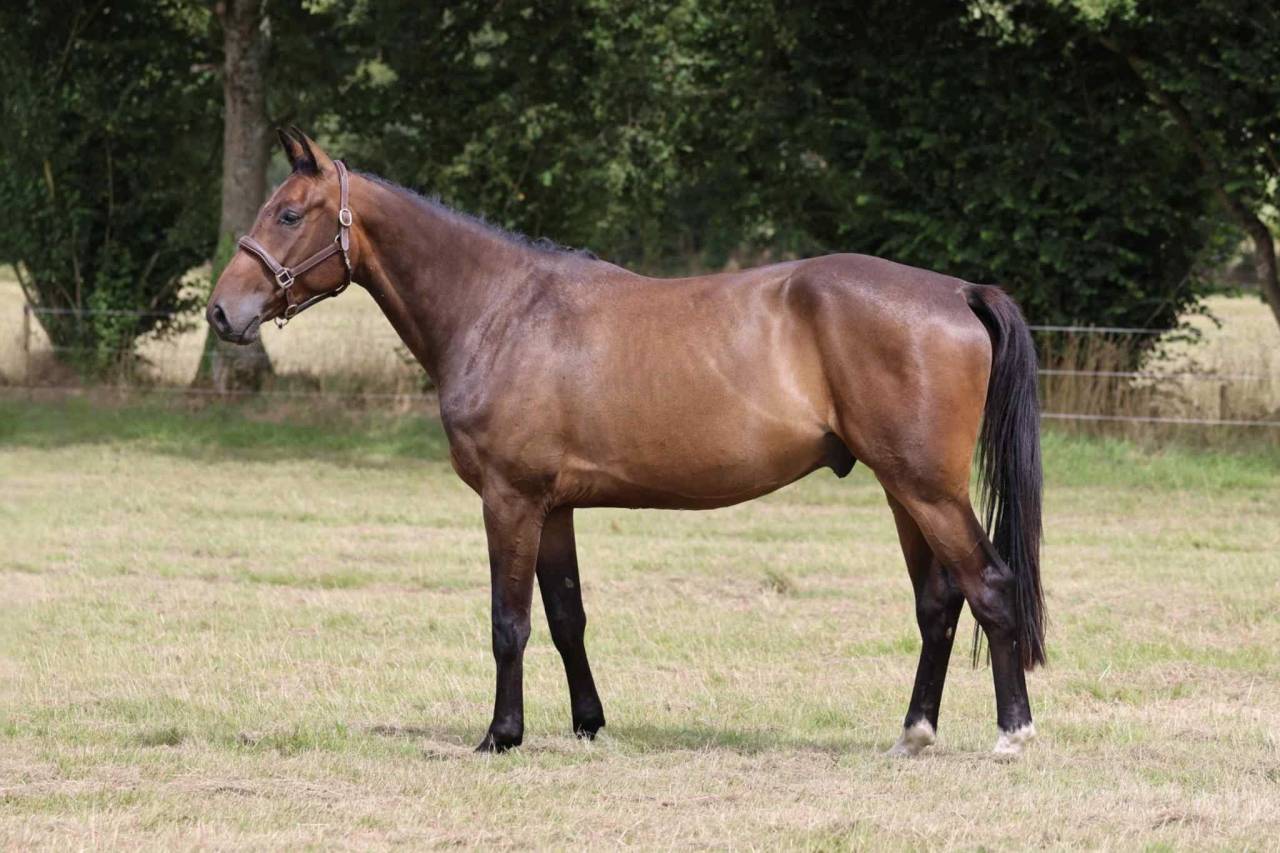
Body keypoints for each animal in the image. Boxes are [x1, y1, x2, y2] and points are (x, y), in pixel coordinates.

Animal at [208, 128, 1045, 757]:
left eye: (290, 213)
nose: (222, 312)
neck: (501, 308)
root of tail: (957, 291)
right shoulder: (554, 507)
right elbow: (566, 614)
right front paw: (587, 724)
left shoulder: (510, 499)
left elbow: (509, 621)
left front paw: (501, 735)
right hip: (904, 489)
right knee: (939, 602)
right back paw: (914, 732)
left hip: (926, 488)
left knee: (989, 584)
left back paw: (1013, 732)